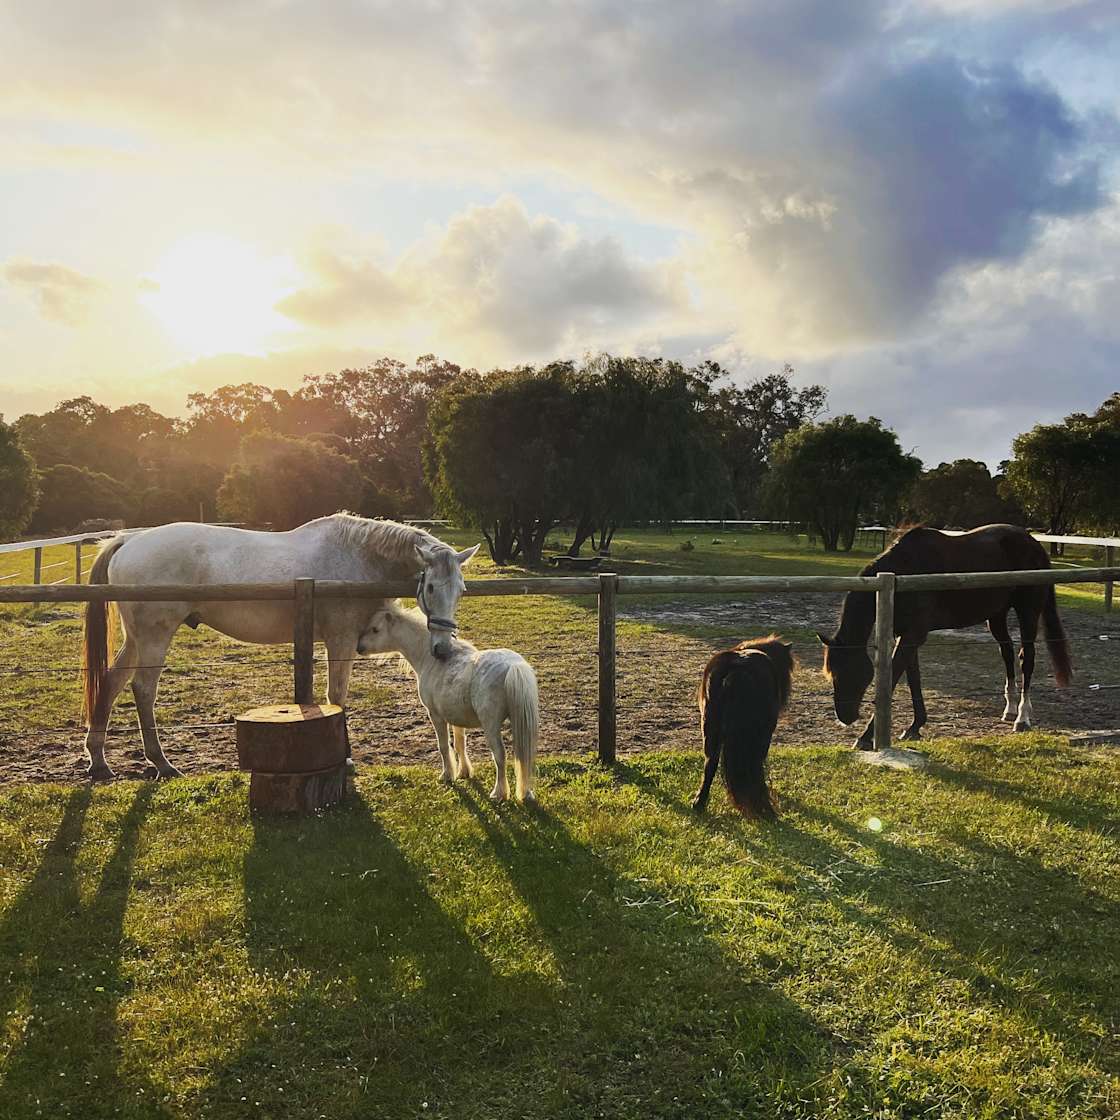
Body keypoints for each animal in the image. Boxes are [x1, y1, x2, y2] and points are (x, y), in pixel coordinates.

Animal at [81, 512, 477, 779]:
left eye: (461, 589)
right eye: (430, 587)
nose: (442, 648)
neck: (359, 557)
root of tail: (129, 540)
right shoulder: (341, 639)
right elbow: (337, 696)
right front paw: (346, 758)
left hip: (137, 639)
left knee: (112, 682)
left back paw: (99, 760)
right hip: (153, 638)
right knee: (143, 689)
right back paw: (162, 762)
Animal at [356, 604, 535, 806]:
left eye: (375, 629)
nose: (359, 647)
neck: (431, 659)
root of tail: (513, 666)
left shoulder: (436, 715)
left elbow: (443, 746)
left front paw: (447, 775)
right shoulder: (457, 718)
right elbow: (459, 744)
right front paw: (464, 772)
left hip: (491, 726)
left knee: (500, 755)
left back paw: (499, 793)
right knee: (523, 757)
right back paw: (526, 793)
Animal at [689, 636, 797, 819]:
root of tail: (737, 670)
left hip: (710, 730)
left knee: (710, 764)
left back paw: (699, 803)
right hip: (759, 736)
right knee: (754, 766)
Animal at [819, 521, 1070, 748]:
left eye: (848, 671)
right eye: (832, 673)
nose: (845, 717)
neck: (903, 573)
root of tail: (1034, 544)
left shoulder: (912, 636)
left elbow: (892, 680)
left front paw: (865, 737)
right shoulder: (907, 636)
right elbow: (914, 679)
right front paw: (915, 726)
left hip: (1028, 612)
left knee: (1026, 658)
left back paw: (1022, 718)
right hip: (996, 616)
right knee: (1007, 652)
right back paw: (1009, 709)